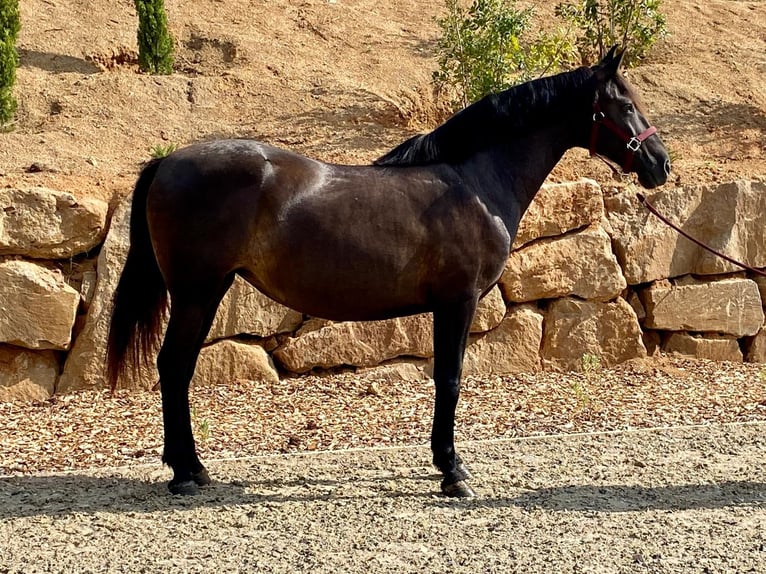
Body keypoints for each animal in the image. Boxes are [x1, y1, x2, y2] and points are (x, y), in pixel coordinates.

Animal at [106, 47, 670, 498]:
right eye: (624, 104)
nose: (660, 163)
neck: (474, 183)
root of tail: (167, 162)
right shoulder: (458, 302)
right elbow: (449, 378)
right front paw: (452, 471)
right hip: (198, 292)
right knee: (173, 366)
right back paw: (186, 474)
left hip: (208, 291)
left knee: (177, 368)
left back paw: (192, 469)